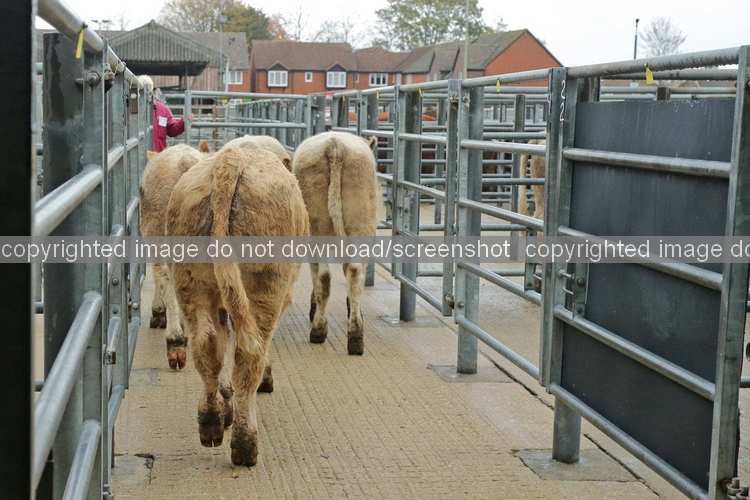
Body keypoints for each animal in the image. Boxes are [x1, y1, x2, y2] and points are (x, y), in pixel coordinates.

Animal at [166, 146, 309, 465]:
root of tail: (230, 159)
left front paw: (225, 407)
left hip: (190, 282)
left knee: (207, 345)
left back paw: (210, 423)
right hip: (266, 285)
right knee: (249, 355)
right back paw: (245, 444)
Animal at [292, 131, 380, 355]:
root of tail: (335, 145)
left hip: (319, 228)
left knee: (326, 277)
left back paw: (319, 330)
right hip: (359, 224)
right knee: (354, 273)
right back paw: (355, 336)